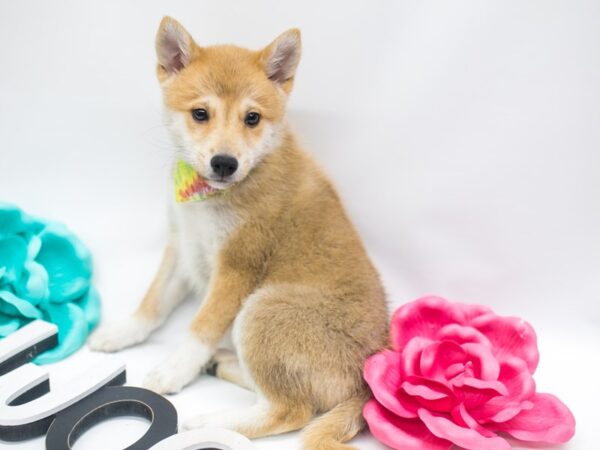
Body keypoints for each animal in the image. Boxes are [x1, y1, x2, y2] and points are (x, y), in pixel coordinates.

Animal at [89, 17, 390, 450]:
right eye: (200, 113)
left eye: (252, 118)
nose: (224, 162)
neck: (209, 196)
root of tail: (367, 381)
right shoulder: (182, 245)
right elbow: (153, 303)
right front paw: (123, 331)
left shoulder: (235, 267)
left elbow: (200, 327)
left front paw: (173, 369)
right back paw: (221, 364)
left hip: (262, 310)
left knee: (292, 409)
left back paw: (211, 421)